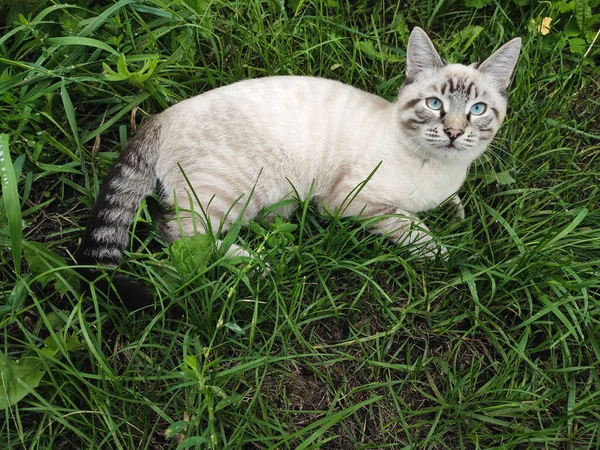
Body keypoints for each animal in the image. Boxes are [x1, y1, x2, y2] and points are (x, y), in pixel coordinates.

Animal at [76, 27, 520, 306]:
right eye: (434, 104)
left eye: (477, 109)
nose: (453, 131)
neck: (441, 167)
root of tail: (160, 116)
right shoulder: (349, 202)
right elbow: (411, 226)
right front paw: (444, 253)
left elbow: (452, 205)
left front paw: (457, 215)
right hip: (233, 194)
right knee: (179, 234)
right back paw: (255, 264)